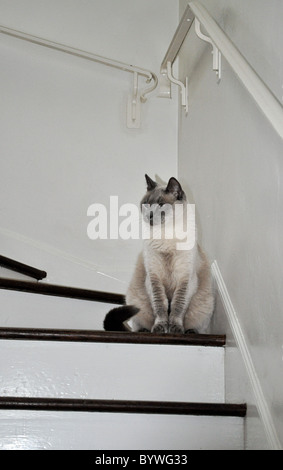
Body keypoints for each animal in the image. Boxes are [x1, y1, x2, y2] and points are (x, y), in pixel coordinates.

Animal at [104, 174, 215, 332]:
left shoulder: (185, 279)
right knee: (139, 323)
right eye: (146, 204)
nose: (149, 215)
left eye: (161, 205)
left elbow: (177, 306)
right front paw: (161, 327)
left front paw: (175, 329)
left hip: (205, 305)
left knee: (198, 326)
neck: (165, 235)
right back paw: (144, 331)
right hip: (136, 299)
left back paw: (190, 332)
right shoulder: (154, 278)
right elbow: (160, 306)